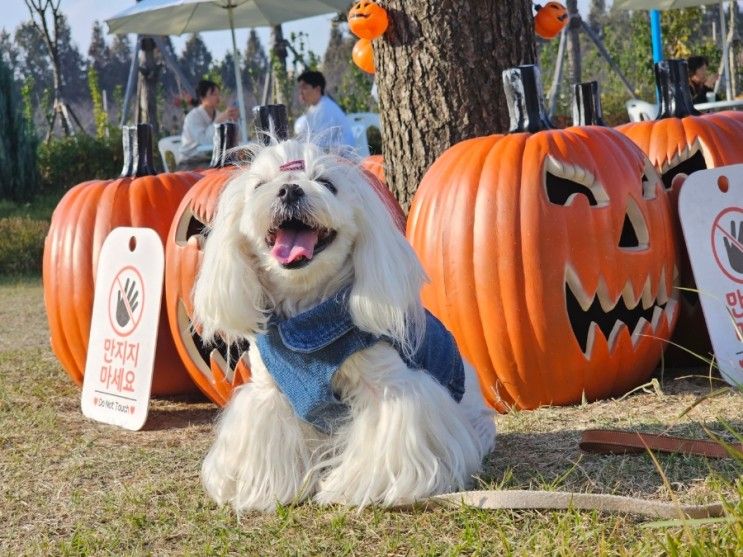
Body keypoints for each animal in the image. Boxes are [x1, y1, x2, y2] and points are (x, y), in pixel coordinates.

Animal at [193, 137, 494, 510]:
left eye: (326, 183)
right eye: (260, 186)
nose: (289, 189)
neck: (306, 318)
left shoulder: (387, 387)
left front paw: (358, 487)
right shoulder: (268, 393)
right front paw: (264, 490)